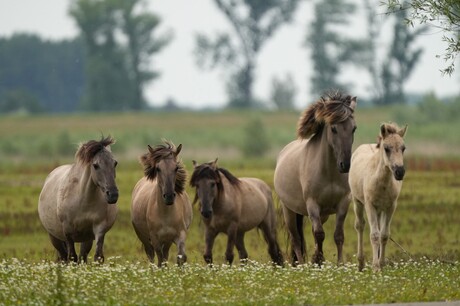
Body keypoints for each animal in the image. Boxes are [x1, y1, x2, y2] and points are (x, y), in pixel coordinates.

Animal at [274, 92, 358, 266]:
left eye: (354, 128)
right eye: (333, 129)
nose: (345, 165)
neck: (329, 172)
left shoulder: (343, 203)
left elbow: (338, 236)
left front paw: (339, 264)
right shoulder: (312, 204)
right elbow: (319, 234)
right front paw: (318, 261)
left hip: (323, 214)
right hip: (289, 211)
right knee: (296, 239)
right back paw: (300, 264)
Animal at [350, 123, 408, 272]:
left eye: (403, 148)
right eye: (386, 148)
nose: (400, 172)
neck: (382, 182)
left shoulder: (391, 207)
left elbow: (384, 235)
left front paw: (381, 264)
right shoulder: (370, 205)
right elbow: (374, 235)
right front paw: (375, 267)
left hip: (380, 210)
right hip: (357, 202)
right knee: (360, 226)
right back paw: (361, 264)